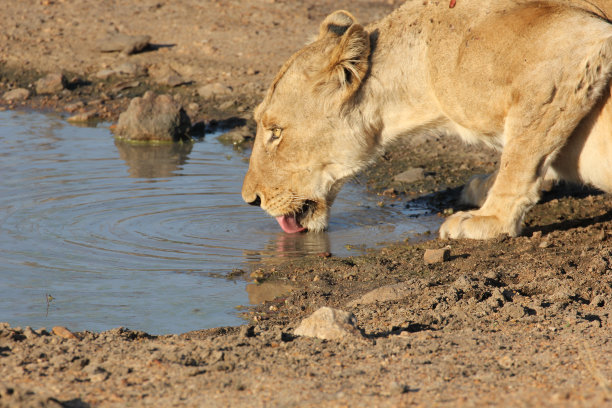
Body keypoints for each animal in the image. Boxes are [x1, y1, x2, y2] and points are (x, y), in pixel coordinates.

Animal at [241, 0, 612, 239]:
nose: (250, 201)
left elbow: (523, 153)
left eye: (276, 132)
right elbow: (524, 150)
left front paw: (491, 220)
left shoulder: (576, 43)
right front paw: (485, 188)